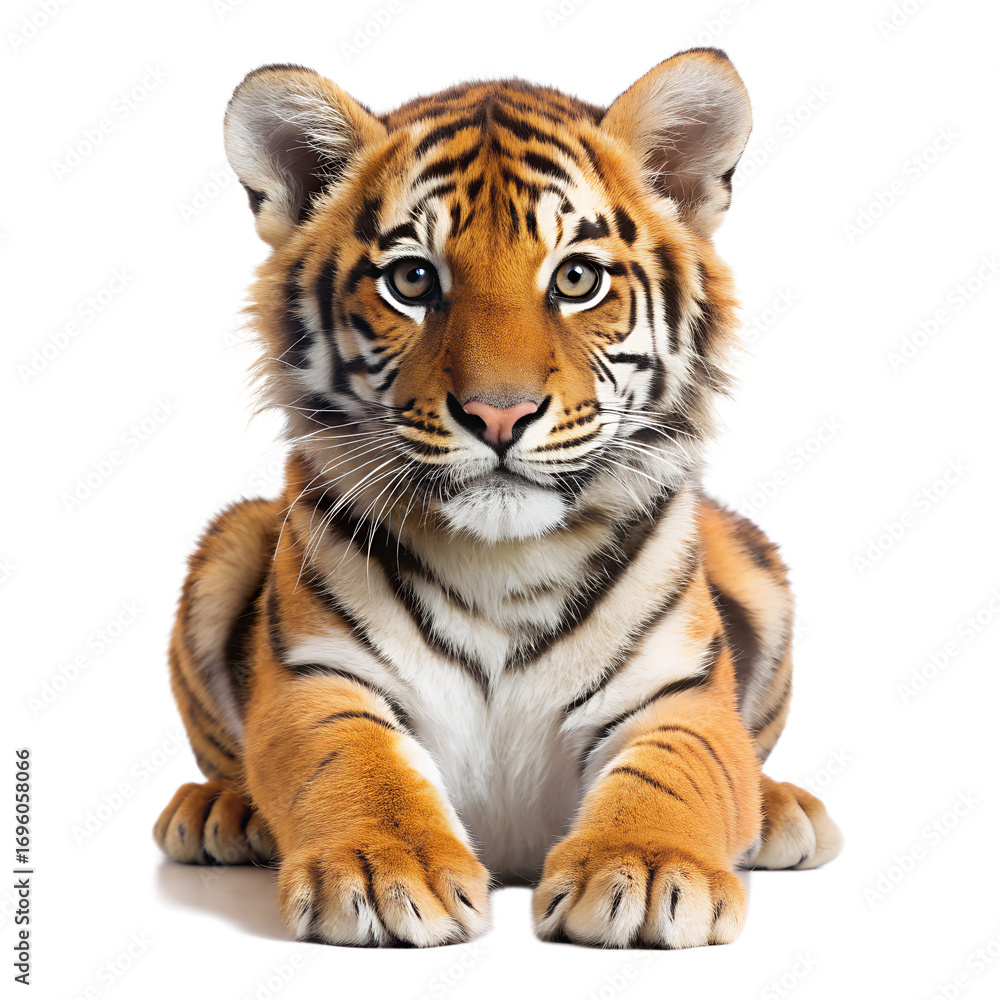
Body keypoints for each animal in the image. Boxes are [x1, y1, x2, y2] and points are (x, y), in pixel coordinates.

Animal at [153, 47, 843, 949]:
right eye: (413, 279)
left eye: (577, 278)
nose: (499, 414)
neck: (504, 564)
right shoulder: (317, 674)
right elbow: (352, 763)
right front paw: (384, 871)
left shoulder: (677, 690)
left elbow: (676, 773)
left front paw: (644, 869)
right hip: (231, 541)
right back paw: (221, 812)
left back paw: (783, 809)